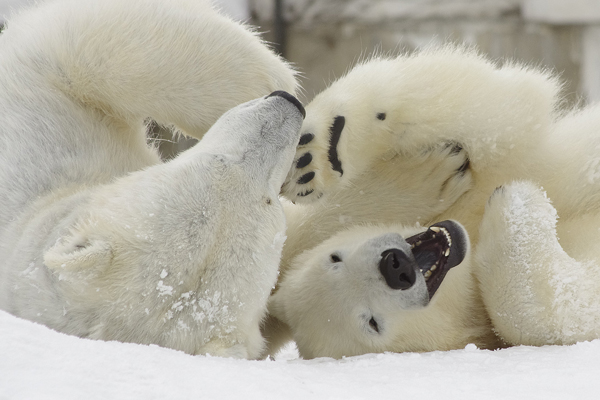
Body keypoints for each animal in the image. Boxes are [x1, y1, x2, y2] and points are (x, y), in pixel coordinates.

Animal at [0, 0, 304, 360]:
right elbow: (79, 41)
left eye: (267, 200)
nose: (289, 105)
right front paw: (271, 77)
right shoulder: (38, 143)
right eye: (217, 161)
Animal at [264, 47, 600, 360]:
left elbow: (487, 108)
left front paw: (317, 152)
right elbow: (547, 312)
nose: (395, 266)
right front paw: (517, 202)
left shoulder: (504, 163)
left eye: (335, 258)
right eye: (372, 323)